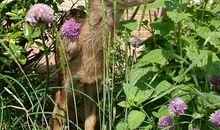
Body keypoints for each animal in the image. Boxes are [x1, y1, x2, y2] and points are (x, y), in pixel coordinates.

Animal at [51, 0, 155, 129]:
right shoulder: (67, 83)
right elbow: (58, 120)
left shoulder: (94, 84)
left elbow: (91, 121)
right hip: (60, 72)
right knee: (56, 104)